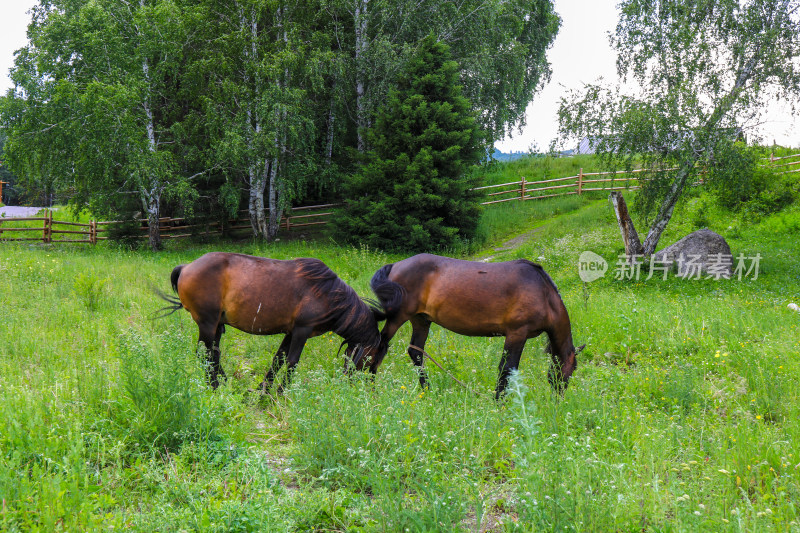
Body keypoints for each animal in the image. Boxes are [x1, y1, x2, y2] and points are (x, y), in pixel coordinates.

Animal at [159, 254, 384, 390]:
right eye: (372, 357)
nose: (366, 384)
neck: (328, 294)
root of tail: (186, 267)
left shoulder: (291, 332)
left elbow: (278, 359)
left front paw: (263, 391)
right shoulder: (302, 331)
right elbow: (292, 361)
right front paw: (282, 392)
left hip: (215, 326)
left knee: (214, 352)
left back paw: (222, 382)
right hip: (207, 323)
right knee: (205, 353)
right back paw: (213, 385)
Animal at [362, 251, 580, 396]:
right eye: (572, 370)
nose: (558, 398)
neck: (542, 293)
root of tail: (395, 265)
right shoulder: (517, 333)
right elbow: (506, 368)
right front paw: (499, 402)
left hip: (421, 320)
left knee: (415, 352)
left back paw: (428, 390)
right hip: (398, 317)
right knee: (379, 346)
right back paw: (371, 387)